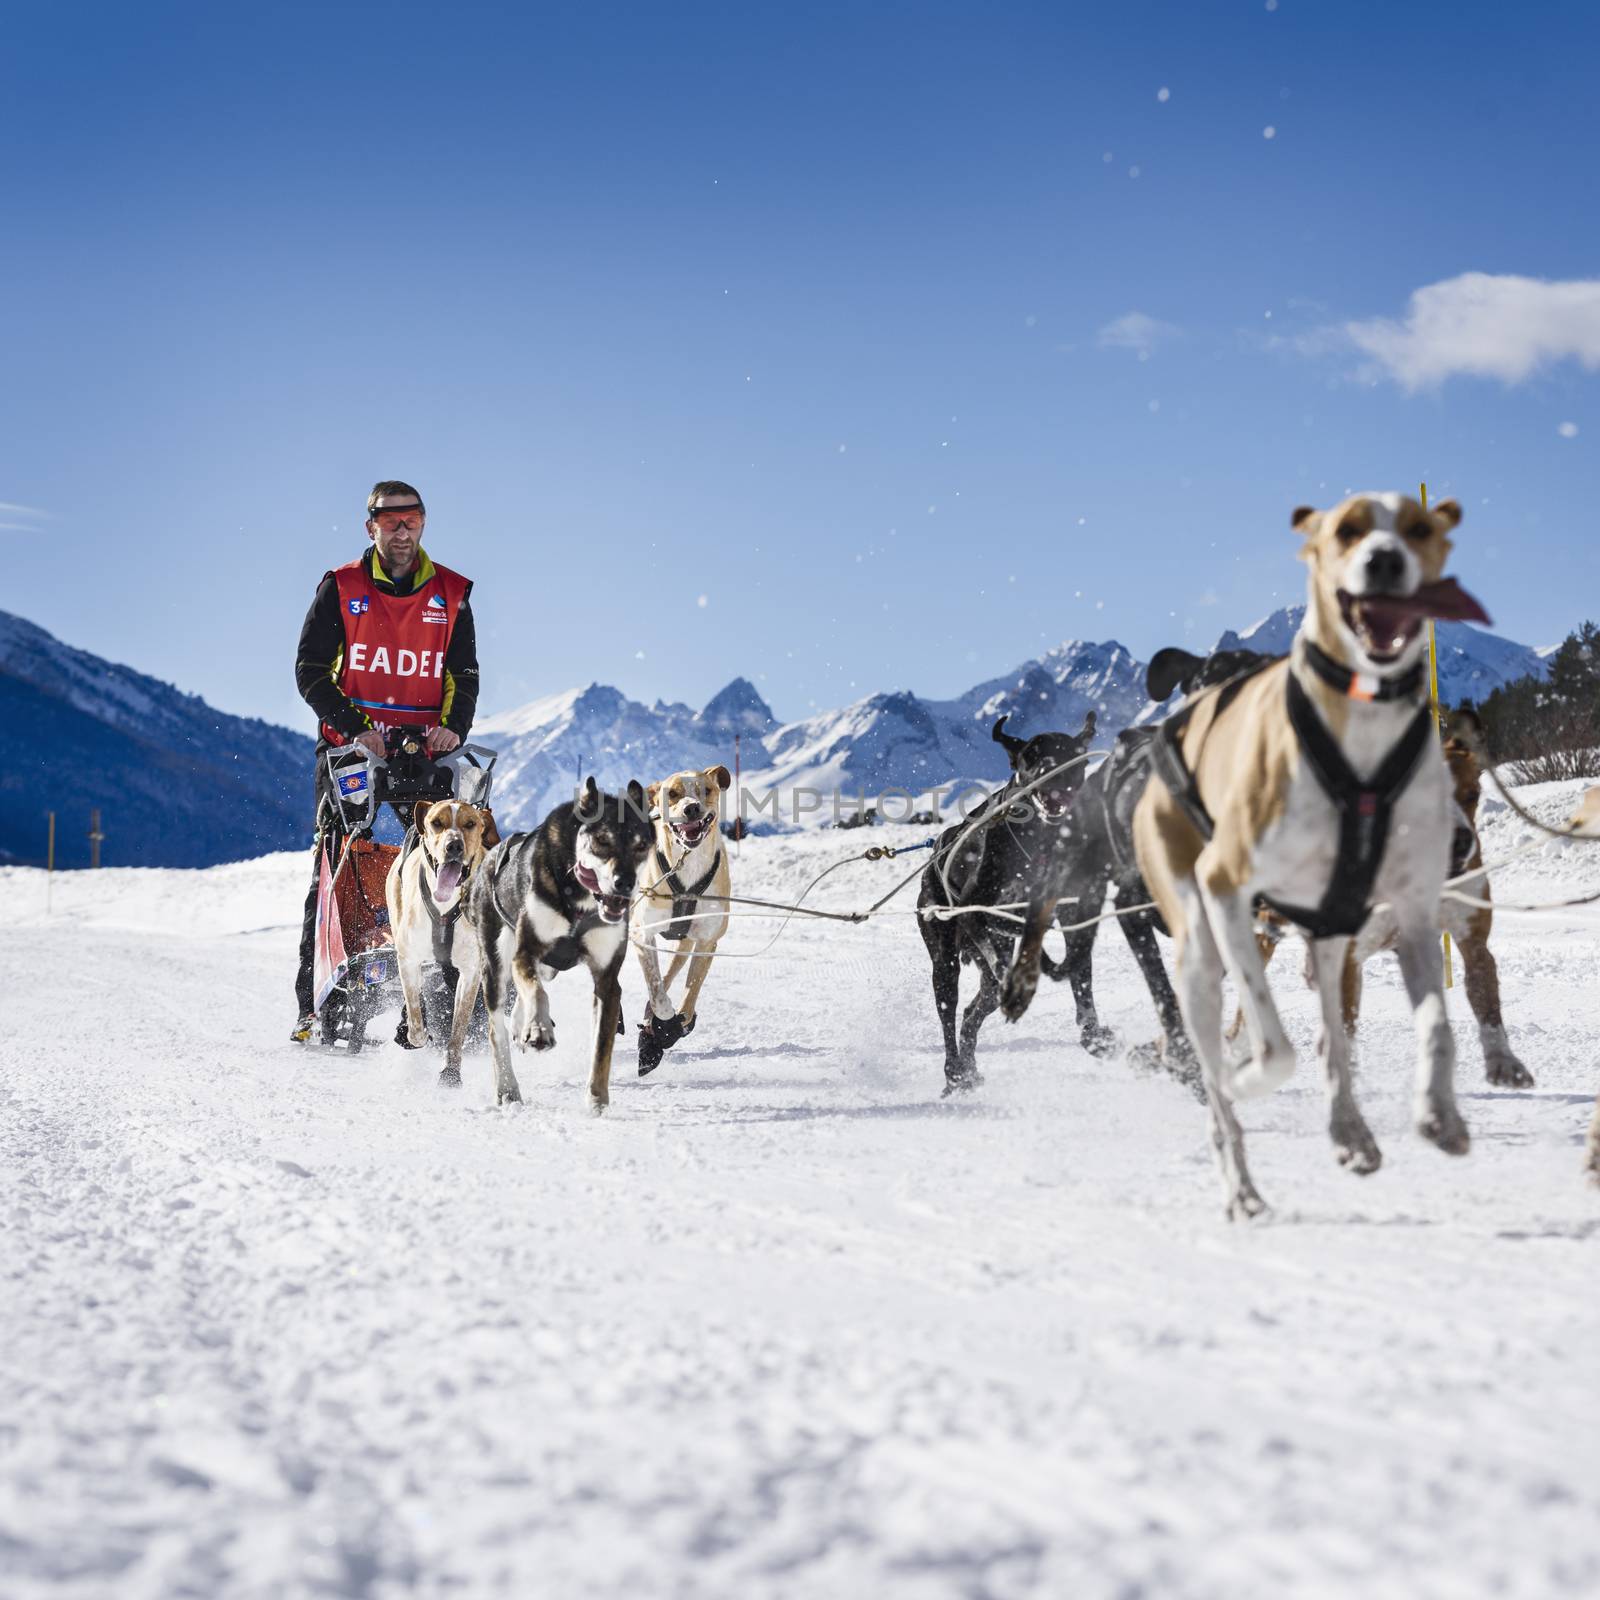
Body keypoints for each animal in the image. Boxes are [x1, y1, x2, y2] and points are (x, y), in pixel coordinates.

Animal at [384, 796, 496, 1088]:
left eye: (470, 824)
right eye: (436, 823)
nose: (453, 845)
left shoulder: (471, 971)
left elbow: (458, 1029)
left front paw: (451, 1072)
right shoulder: (408, 959)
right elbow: (415, 1019)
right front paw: (417, 1033)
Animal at [467, 777, 652, 1113]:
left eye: (641, 845)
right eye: (602, 840)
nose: (625, 883)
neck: (580, 900)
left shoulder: (607, 980)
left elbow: (601, 1045)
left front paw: (596, 1099)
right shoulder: (525, 952)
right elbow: (536, 992)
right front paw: (539, 1029)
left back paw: (521, 1026)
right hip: (495, 962)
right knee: (496, 1026)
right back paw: (508, 1086)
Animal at [627, 761, 732, 1075]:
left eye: (706, 790)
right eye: (672, 793)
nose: (692, 808)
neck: (687, 865)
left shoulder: (707, 941)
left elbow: (688, 996)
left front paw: (666, 1031)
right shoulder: (642, 934)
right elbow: (657, 991)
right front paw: (662, 1023)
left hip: (684, 945)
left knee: (672, 973)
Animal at [1132, 492, 1491, 1216]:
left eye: (1420, 528)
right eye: (1345, 529)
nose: (1384, 562)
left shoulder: (1412, 918)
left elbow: (1433, 1027)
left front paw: (1436, 1115)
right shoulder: (1227, 891)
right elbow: (1272, 1051)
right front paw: (1244, 1077)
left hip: (1327, 941)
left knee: (1330, 1037)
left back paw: (1350, 1130)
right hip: (1200, 945)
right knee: (1221, 1076)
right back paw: (1240, 1178)